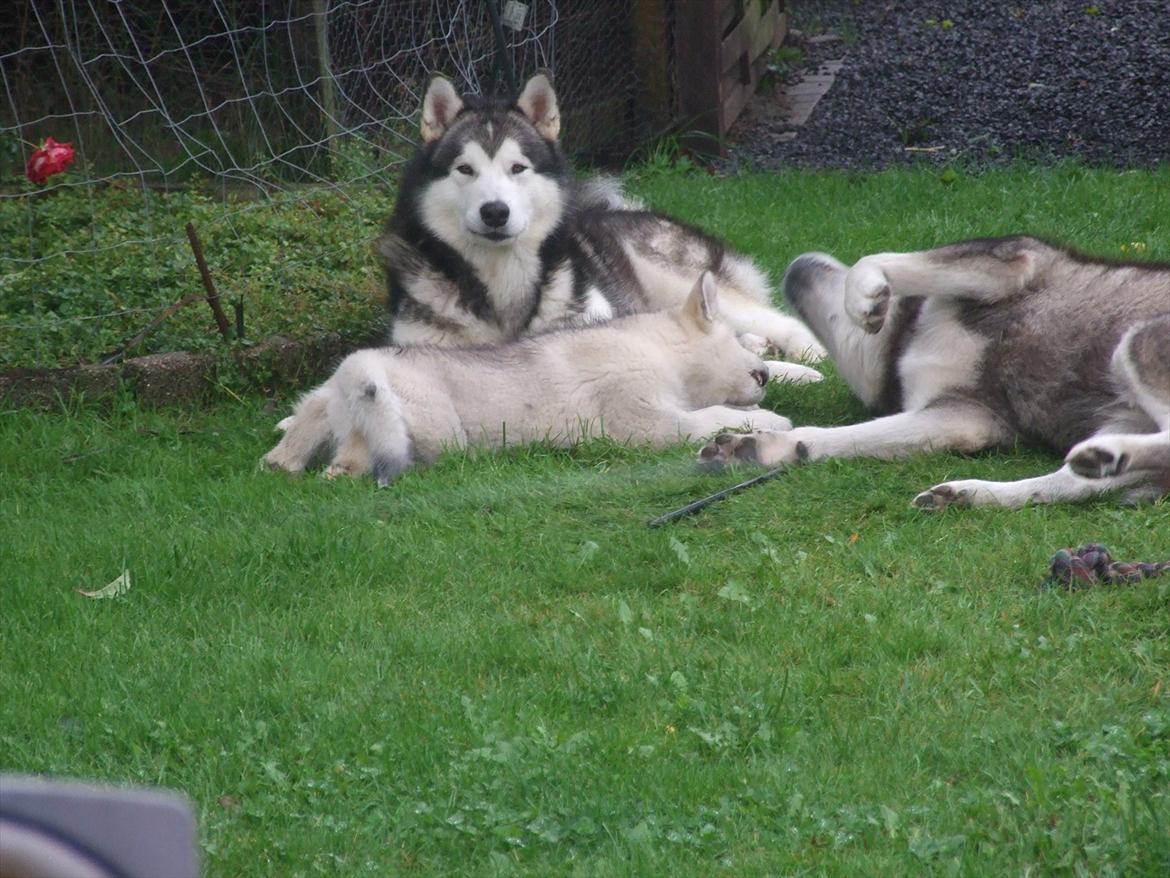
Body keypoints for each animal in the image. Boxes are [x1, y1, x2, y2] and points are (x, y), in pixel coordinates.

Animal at [264, 273, 805, 486]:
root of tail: (354, 372)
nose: (763, 375)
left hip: (331, 402)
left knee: (305, 435)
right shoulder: (642, 423)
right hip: (435, 431)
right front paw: (771, 419)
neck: (657, 350)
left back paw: (285, 460)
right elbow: (711, 417)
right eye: (734, 337)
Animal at [376, 73, 824, 365]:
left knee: (772, 318)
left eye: (517, 168)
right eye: (465, 170)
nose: (495, 212)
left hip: (675, 277)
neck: (503, 282)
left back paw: (809, 350)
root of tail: (623, 210)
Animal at [696, 236, 1170, 507]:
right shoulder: (963, 417)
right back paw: (974, 494)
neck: (906, 341)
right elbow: (828, 439)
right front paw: (762, 447)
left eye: (831, 319)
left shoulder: (1012, 259)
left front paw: (866, 297)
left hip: (1133, 344)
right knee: (1081, 480)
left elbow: (876, 259)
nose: (794, 266)